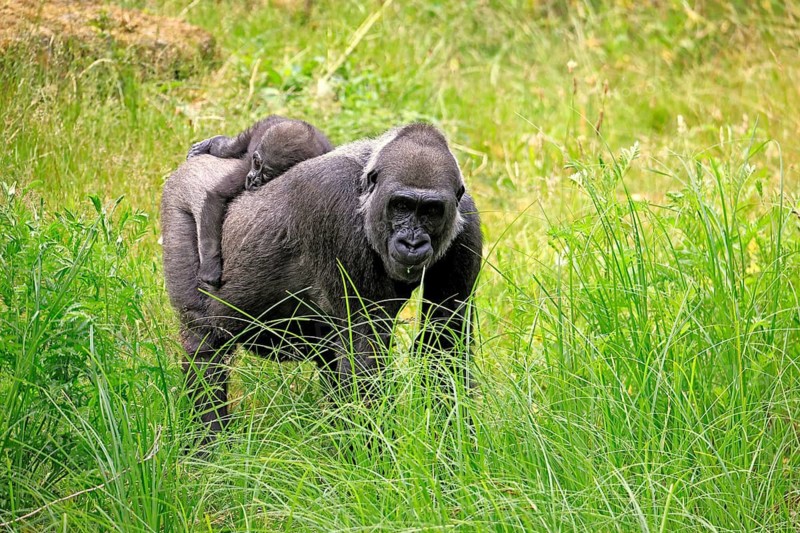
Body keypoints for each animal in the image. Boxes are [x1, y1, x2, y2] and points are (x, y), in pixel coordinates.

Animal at [186, 116, 334, 288]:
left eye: (267, 174)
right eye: (257, 163)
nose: (252, 179)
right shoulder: (246, 168)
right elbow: (217, 196)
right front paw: (210, 267)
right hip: (258, 127)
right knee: (229, 149)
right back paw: (215, 143)